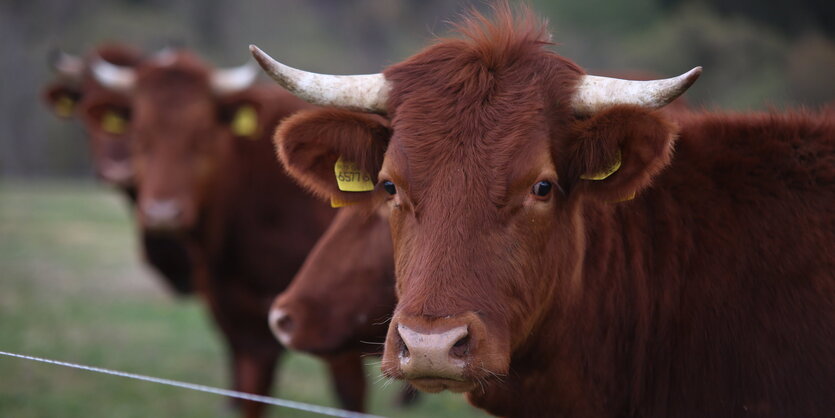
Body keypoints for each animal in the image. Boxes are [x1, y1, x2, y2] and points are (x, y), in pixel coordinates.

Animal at [86, 50, 370, 416]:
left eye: (202, 135)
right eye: (139, 135)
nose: (163, 213)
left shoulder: (342, 335)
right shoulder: (244, 331)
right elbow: (251, 398)